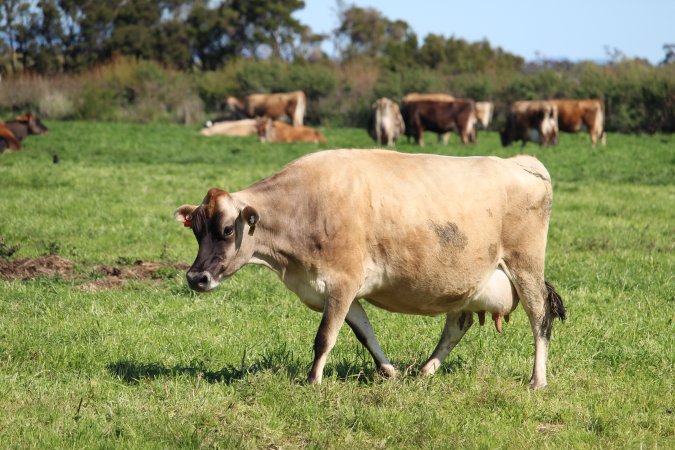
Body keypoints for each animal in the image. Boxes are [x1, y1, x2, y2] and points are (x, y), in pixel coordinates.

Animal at [173, 149, 564, 388]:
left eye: (227, 230)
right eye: (196, 230)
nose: (196, 277)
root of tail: (521, 162)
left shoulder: (342, 281)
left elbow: (325, 337)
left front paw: (312, 381)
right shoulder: (339, 289)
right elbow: (364, 332)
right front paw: (388, 371)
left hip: (525, 266)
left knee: (539, 318)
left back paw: (538, 380)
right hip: (469, 280)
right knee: (458, 324)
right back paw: (426, 369)